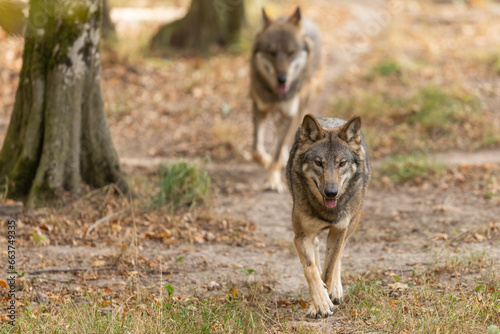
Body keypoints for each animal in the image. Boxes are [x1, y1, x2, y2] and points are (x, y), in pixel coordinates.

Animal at [250, 6, 324, 192]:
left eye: (291, 53)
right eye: (272, 53)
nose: (282, 80)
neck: (276, 94)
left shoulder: (290, 113)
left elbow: (276, 151)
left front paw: (272, 180)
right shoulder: (259, 108)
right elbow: (256, 150)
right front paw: (266, 160)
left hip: (302, 110)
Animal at [286, 113, 372, 318]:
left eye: (342, 163)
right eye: (319, 163)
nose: (331, 193)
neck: (326, 210)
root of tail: (331, 118)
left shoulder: (339, 229)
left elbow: (329, 269)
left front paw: (324, 299)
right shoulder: (301, 236)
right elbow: (311, 270)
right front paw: (319, 304)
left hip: (352, 223)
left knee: (339, 253)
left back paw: (336, 290)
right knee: (318, 249)